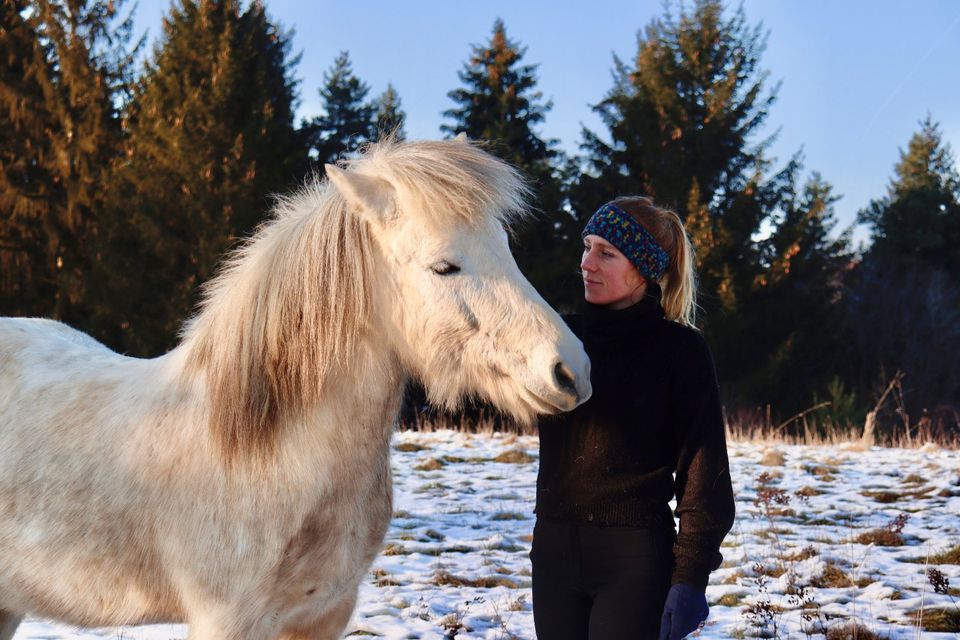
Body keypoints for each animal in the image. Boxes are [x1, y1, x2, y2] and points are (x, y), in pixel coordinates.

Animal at [0, 139, 592, 640]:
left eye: (505, 249)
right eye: (444, 266)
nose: (571, 371)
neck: (266, 450)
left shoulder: (324, 616)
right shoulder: (226, 621)